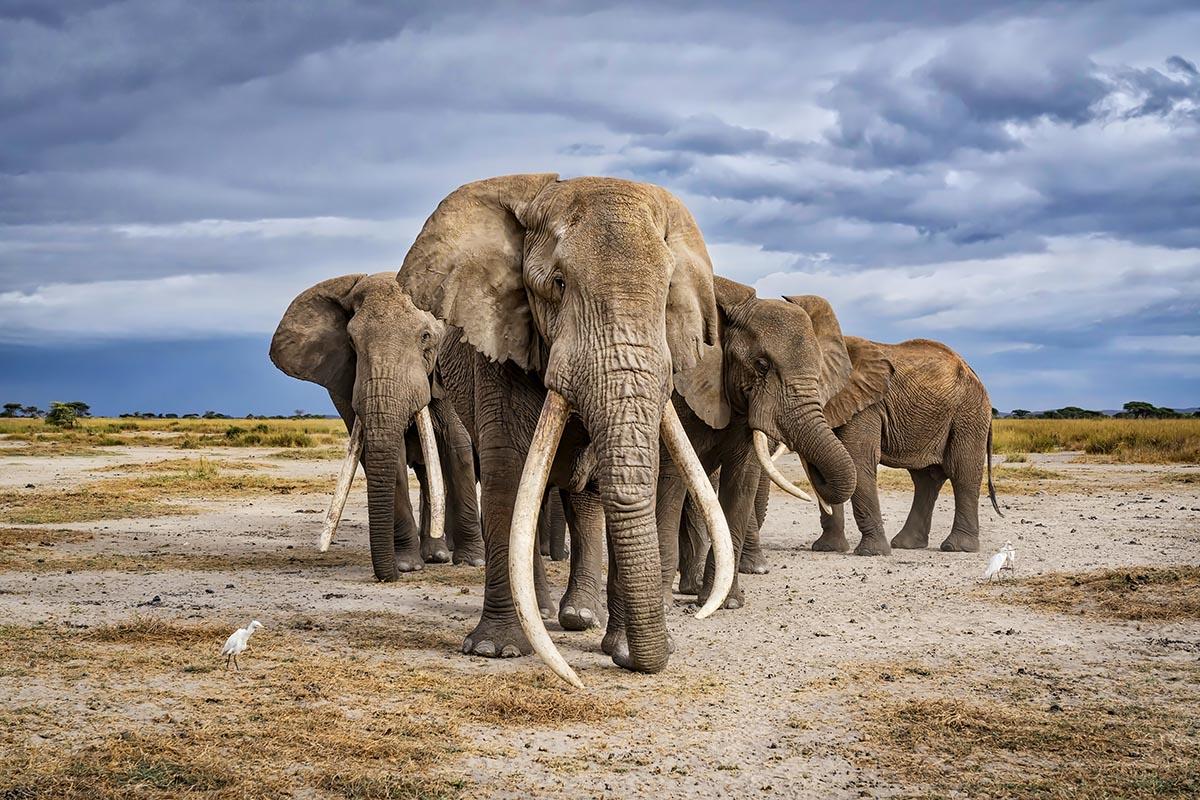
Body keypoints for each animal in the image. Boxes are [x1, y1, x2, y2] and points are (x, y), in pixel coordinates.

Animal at [270, 272, 485, 582]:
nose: (388, 575)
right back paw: (435, 555)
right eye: (351, 341)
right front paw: (408, 565)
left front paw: (473, 562)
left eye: (426, 337)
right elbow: (389, 457)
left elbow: (457, 447)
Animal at [397, 173, 735, 682]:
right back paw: (539, 610)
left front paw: (621, 650)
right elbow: (506, 474)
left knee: (586, 496)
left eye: (666, 294)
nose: (643, 661)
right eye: (557, 284)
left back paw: (578, 616)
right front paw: (494, 649)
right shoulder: (499, 346)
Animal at [657, 277, 859, 607]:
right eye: (762, 365)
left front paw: (728, 603)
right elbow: (671, 479)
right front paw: (663, 605)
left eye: (819, 371)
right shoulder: (679, 394)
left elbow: (742, 482)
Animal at [805, 335, 1001, 556]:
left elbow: (857, 459)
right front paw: (826, 549)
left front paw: (870, 553)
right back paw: (906, 544)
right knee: (926, 478)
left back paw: (957, 548)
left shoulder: (867, 404)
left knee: (961, 471)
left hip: (969, 413)